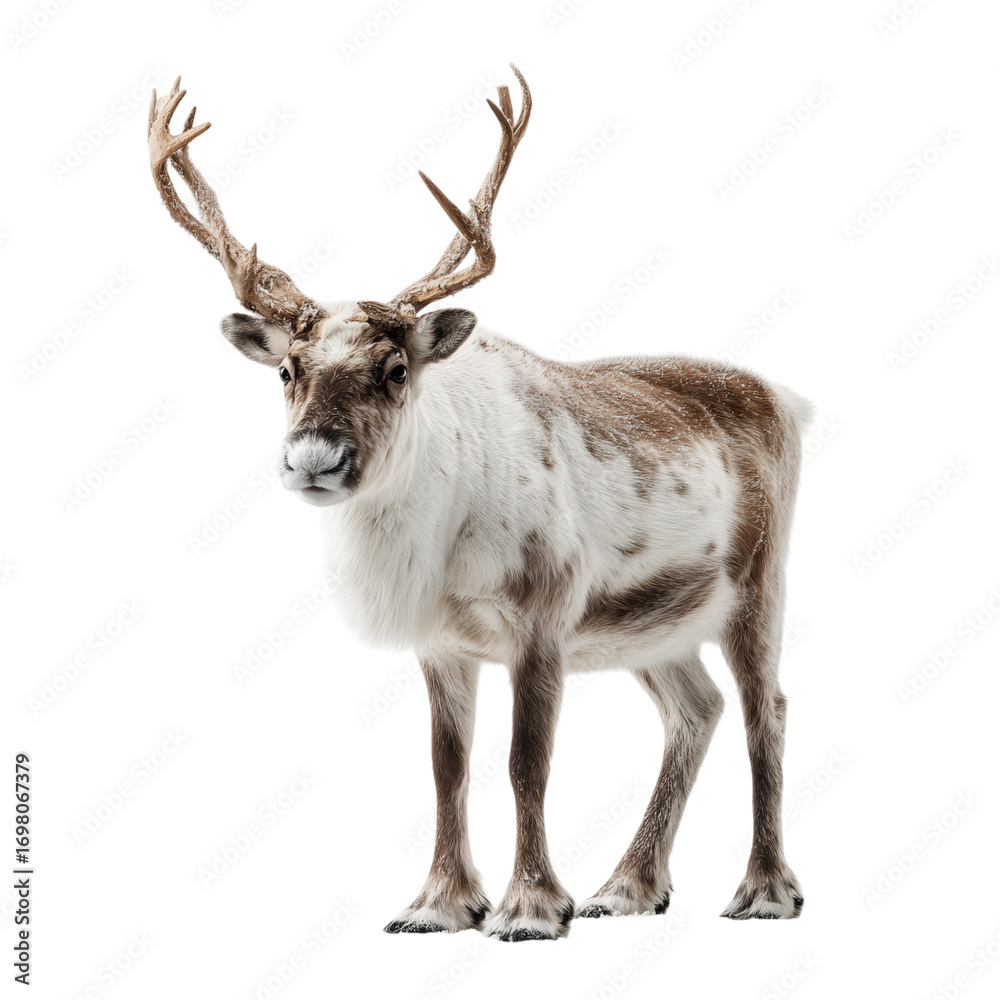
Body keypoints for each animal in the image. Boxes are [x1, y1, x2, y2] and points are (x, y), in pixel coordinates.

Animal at [147, 68, 810, 941]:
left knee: (767, 709)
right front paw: (440, 904)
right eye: (287, 370)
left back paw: (764, 889)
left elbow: (526, 762)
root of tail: (788, 400)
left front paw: (530, 908)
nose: (314, 459)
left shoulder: (543, 619)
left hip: (759, 586)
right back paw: (627, 888)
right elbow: (447, 766)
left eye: (396, 369)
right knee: (695, 710)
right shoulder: (442, 642)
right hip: (654, 621)